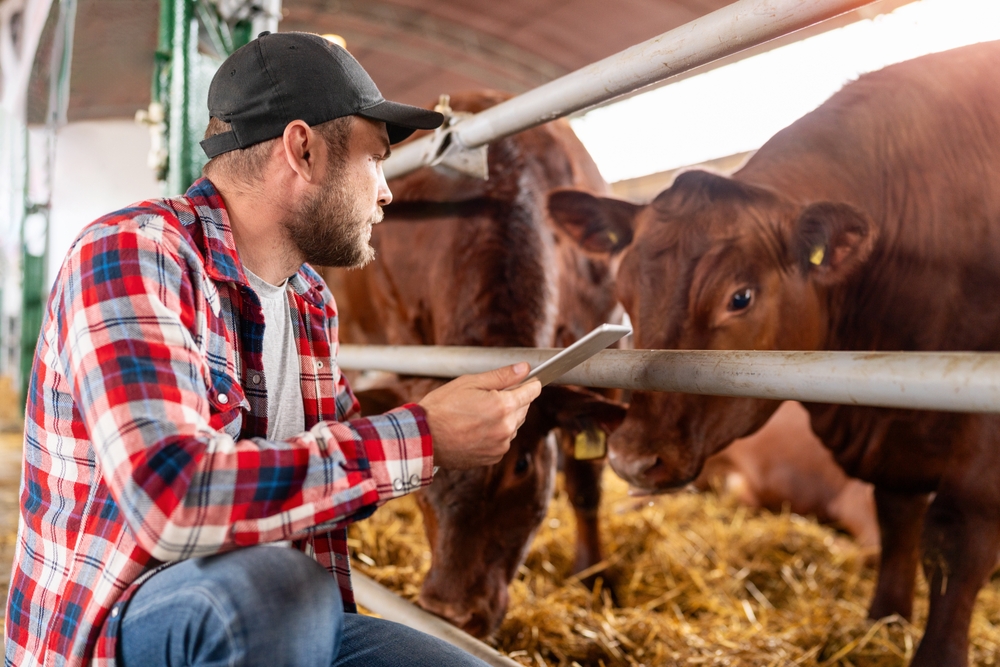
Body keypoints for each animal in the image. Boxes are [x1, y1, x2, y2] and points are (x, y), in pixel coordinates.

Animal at [548, 43, 1000, 667]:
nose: (633, 460)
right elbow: (898, 523)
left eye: (740, 297)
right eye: (626, 291)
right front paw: (883, 623)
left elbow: (956, 546)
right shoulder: (895, 440)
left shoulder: (981, 452)